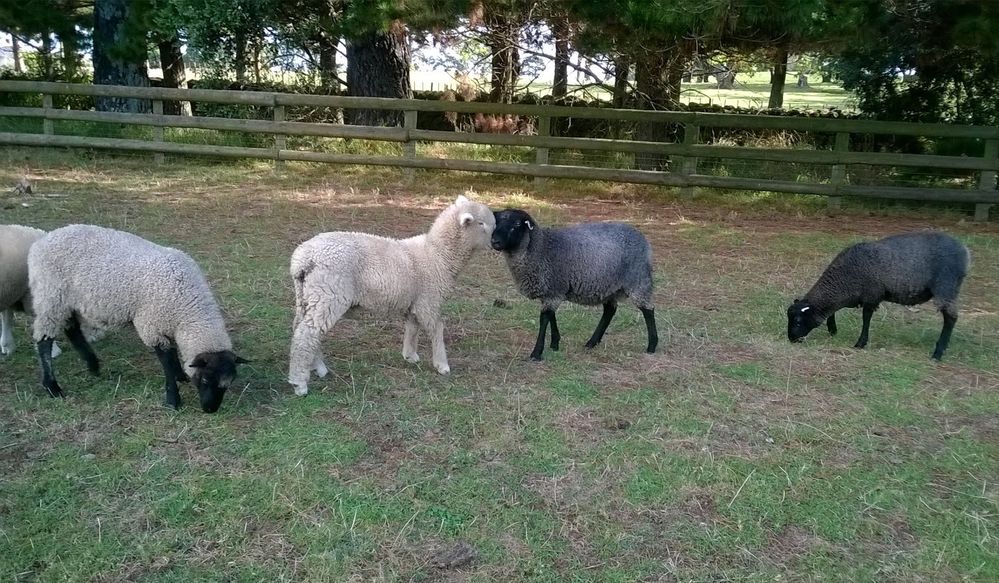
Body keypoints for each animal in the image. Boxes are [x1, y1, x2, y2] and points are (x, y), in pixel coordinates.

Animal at [29, 225, 248, 416]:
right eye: (204, 380)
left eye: (227, 385)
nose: (210, 410)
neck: (188, 307)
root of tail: (42, 240)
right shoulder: (152, 326)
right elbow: (167, 363)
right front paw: (173, 400)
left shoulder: (166, 324)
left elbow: (173, 355)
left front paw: (180, 376)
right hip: (51, 296)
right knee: (45, 339)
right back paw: (52, 386)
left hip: (69, 300)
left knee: (72, 329)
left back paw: (93, 365)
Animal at [788, 230, 968, 358]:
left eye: (797, 321)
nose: (791, 339)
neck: (844, 278)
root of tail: (965, 251)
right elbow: (833, 311)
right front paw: (833, 330)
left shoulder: (871, 295)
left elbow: (866, 318)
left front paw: (860, 343)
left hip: (946, 286)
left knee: (950, 318)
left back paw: (938, 352)